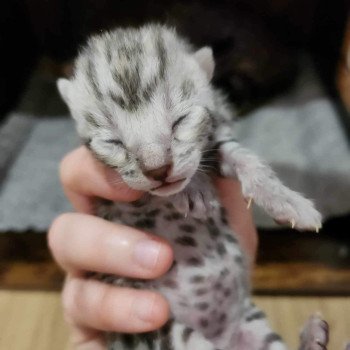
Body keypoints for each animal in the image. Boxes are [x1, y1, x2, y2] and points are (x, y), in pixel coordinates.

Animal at [58, 23, 330, 350]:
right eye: (113, 142)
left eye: (180, 121)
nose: (157, 170)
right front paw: (193, 191)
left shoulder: (218, 135)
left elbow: (243, 158)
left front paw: (288, 202)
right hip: (157, 329)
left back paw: (314, 335)